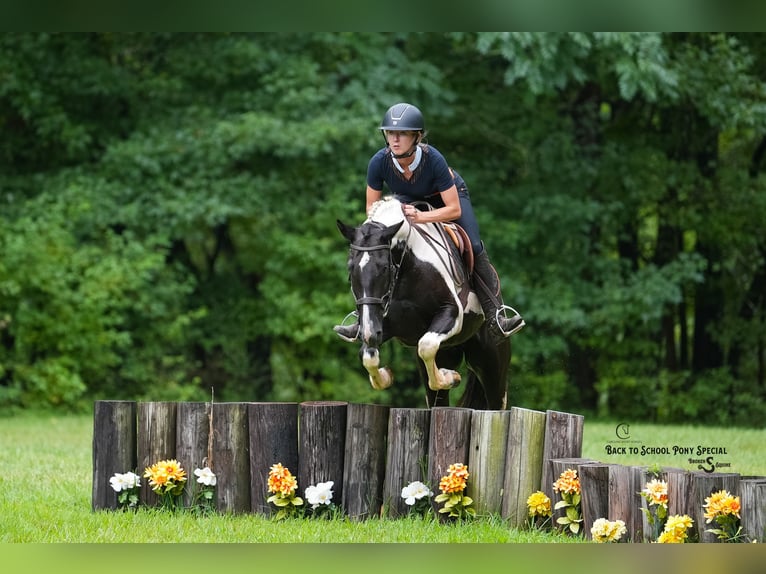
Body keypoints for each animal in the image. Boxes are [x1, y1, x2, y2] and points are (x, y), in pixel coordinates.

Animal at [336, 196, 511, 410]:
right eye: (350, 268)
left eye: (384, 267)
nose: (370, 333)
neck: (406, 265)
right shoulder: (385, 324)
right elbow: (368, 356)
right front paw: (386, 375)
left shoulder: (451, 313)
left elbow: (426, 345)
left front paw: (450, 377)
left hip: (492, 363)